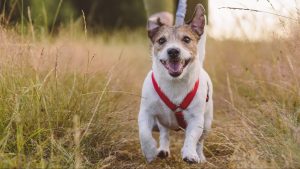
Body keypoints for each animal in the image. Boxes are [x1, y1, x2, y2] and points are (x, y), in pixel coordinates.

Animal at [138, 4, 213, 164]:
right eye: (161, 40)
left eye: (186, 39)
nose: (173, 51)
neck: (174, 83)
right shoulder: (146, 112)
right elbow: (144, 133)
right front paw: (149, 151)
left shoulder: (196, 119)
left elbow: (192, 137)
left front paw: (189, 153)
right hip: (163, 122)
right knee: (164, 133)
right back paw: (162, 149)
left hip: (207, 123)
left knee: (200, 141)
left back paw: (200, 156)